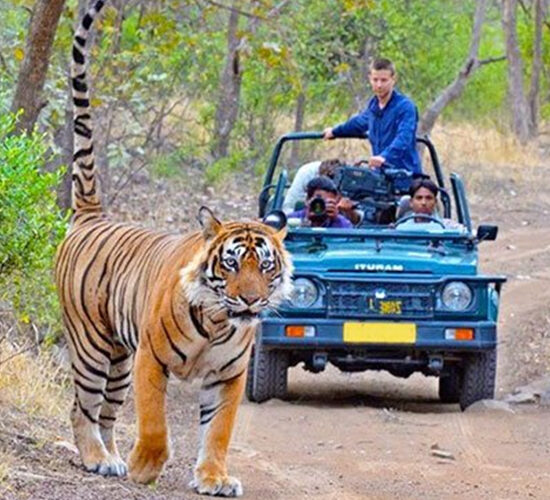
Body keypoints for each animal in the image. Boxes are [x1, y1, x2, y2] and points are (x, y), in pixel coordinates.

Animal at [57, 1, 294, 498]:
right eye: (231, 264)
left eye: (265, 267)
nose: (250, 301)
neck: (220, 322)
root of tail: (91, 215)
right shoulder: (151, 358)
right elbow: (154, 422)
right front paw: (147, 466)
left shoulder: (228, 376)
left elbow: (218, 431)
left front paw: (214, 478)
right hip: (91, 344)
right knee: (82, 406)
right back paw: (97, 458)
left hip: (118, 358)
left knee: (106, 411)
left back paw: (111, 458)